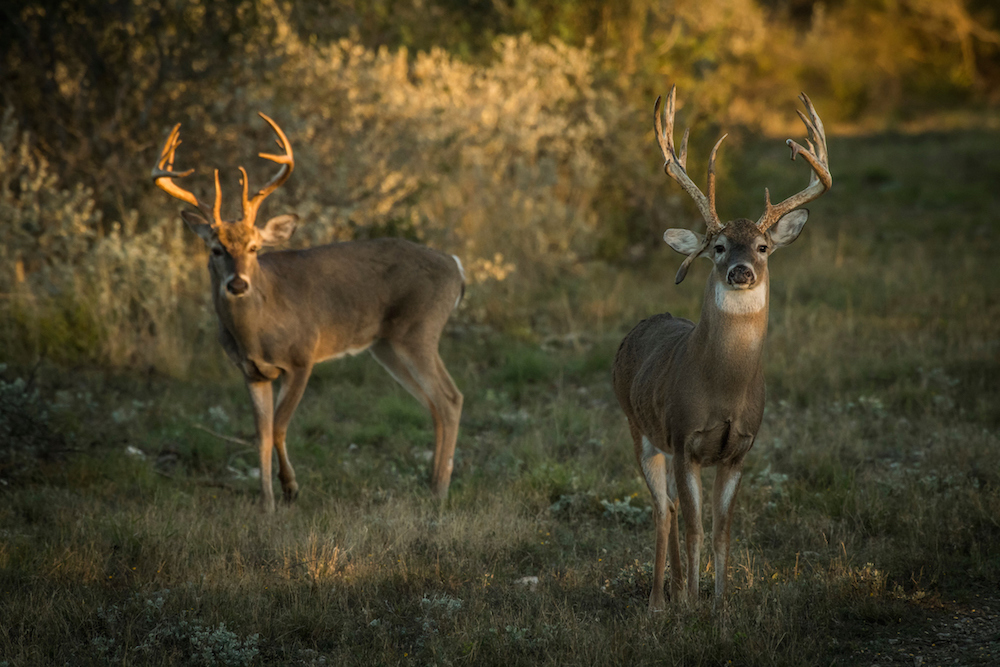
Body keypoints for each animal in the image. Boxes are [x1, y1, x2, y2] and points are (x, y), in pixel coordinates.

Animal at [152, 115, 464, 512]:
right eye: (215, 248)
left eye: (254, 247)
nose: (237, 285)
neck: (258, 330)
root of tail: (456, 267)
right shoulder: (251, 372)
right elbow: (260, 435)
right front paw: (267, 504)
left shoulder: (303, 357)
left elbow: (279, 428)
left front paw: (291, 489)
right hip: (388, 346)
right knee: (435, 403)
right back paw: (430, 484)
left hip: (419, 331)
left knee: (450, 398)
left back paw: (439, 491)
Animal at [612, 88, 832, 612]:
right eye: (718, 246)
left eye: (763, 247)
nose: (741, 271)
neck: (724, 387)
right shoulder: (683, 439)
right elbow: (695, 526)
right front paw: (692, 603)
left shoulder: (740, 450)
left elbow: (721, 531)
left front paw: (719, 604)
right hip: (639, 429)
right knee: (663, 508)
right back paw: (659, 602)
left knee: (671, 507)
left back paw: (673, 592)